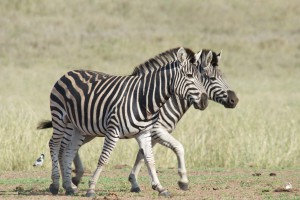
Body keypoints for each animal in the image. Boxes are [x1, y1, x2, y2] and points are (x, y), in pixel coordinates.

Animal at [41, 47, 207, 197]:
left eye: (201, 77)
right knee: (54, 144)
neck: (144, 98)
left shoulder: (145, 133)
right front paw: (91, 188)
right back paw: (56, 184)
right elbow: (103, 159)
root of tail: (69, 72)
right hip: (60, 117)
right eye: (189, 75)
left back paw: (69, 187)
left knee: (68, 150)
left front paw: (160, 188)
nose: (204, 101)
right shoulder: (113, 131)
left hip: (78, 127)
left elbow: (149, 159)